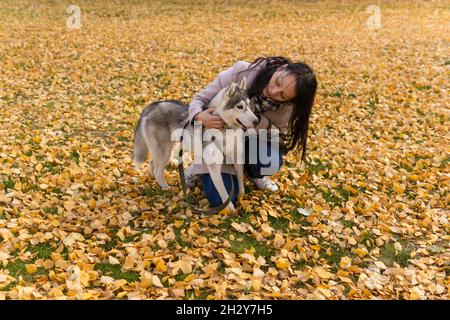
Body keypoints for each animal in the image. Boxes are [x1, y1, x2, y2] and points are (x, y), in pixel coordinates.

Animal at [134, 77, 258, 212]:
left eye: (249, 105)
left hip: (162, 150)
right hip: (164, 152)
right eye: (240, 106)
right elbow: (223, 192)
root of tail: (152, 106)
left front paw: (241, 197)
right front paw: (230, 209)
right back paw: (165, 187)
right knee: (157, 170)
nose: (256, 121)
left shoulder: (237, 157)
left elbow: (240, 181)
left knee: (152, 164)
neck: (225, 129)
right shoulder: (214, 167)